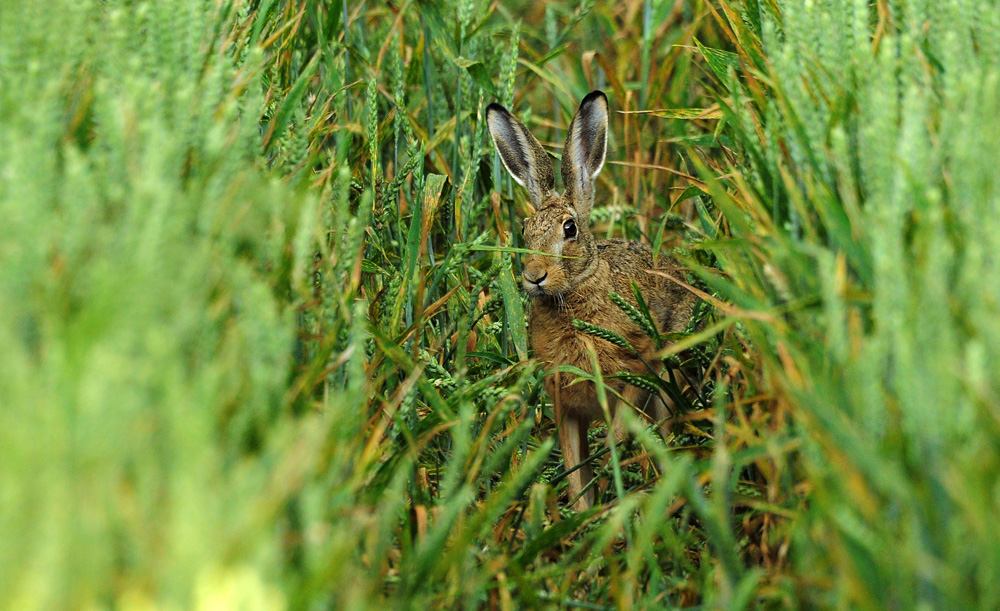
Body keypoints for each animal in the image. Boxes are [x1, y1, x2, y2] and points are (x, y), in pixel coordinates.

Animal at [486, 90, 697, 510]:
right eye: (524, 230)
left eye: (570, 229)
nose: (534, 276)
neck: (571, 297)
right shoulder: (563, 402)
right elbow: (572, 462)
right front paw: (583, 513)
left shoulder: (636, 367)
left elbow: (616, 436)